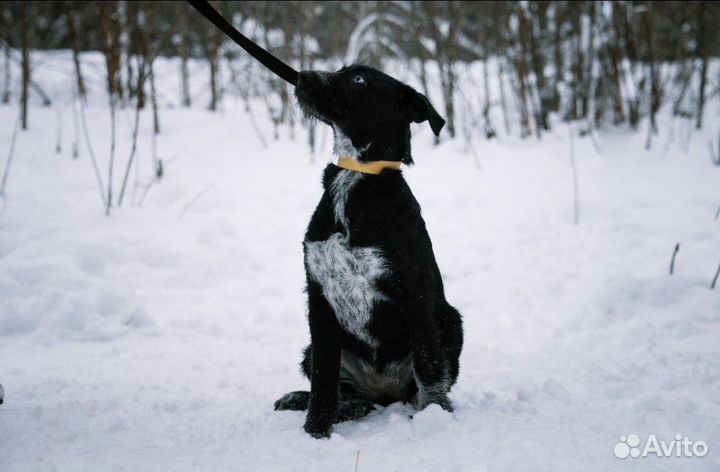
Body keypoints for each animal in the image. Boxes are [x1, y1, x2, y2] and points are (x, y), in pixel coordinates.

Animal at [272, 64, 464, 436]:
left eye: (359, 79)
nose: (302, 76)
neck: (358, 175)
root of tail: (382, 392)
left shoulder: (414, 293)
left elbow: (429, 366)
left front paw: (435, 415)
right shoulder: (319, 298)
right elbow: (324, 378)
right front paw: (316, 430)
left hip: (451, 322)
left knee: (423, 379)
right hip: (312, 349)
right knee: (343, 391)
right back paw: (331, 403)